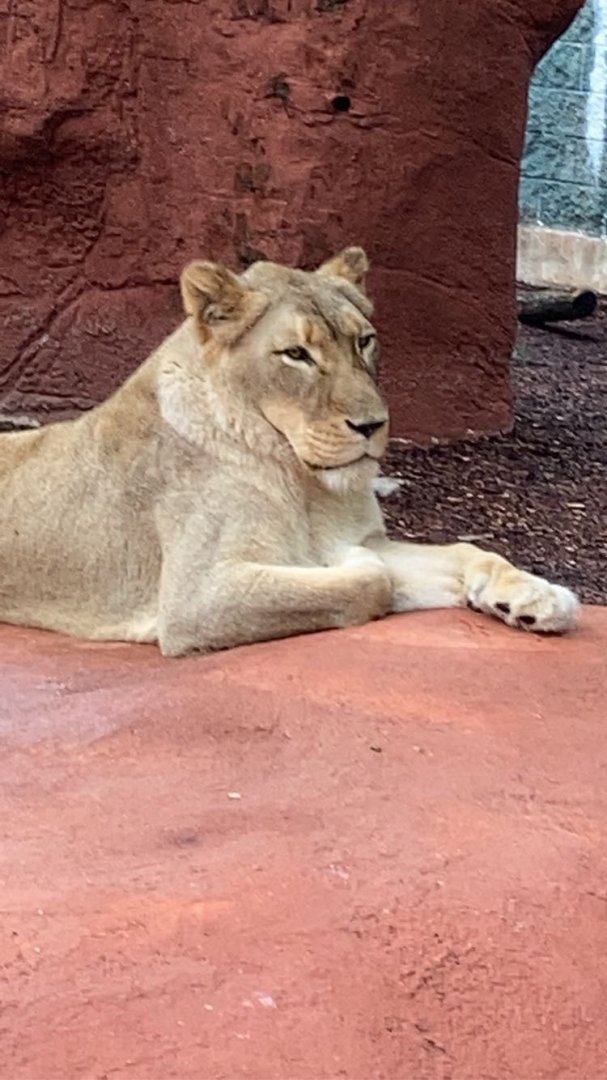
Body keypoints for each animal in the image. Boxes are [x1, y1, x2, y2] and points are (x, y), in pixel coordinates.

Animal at [0, 247, 578, 655]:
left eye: (364, 341)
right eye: (296, 354)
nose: (373, 425)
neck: (305, 482)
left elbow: (465, 551)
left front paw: (538, 596)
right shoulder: (196, 598)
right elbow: (371, 578)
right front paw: (349, 564)